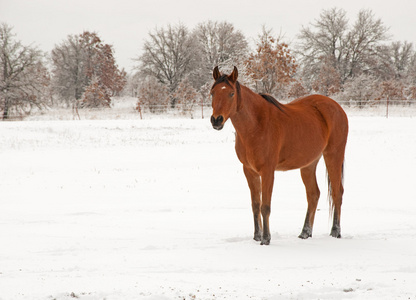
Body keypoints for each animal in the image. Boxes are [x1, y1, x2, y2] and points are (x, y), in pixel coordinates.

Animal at [210, 65, 350, 244]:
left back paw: (335, 232)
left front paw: (265, 239)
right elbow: (255, 205)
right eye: (212, 93)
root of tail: (337, 107)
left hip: (333, 155)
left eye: (231, 93)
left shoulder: (268, 171)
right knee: (313, 194)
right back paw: (305, 233)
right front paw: (256, 236)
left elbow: (265, 206)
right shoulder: (249, 171)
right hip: (309, 164)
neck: (256, 125)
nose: (216, 120)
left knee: (337, 192)